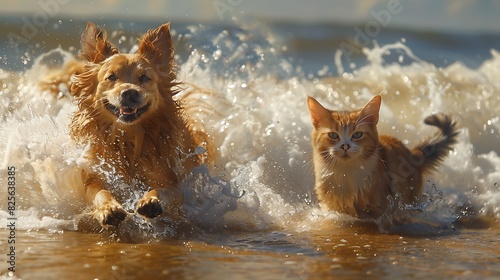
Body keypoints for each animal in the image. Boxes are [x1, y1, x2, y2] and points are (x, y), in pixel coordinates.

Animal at [68, 22, 213, 228]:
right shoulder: (94, 176)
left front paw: (151, 200)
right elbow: (100, 192)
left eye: (144, 78)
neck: (129, 138)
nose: (129, 92)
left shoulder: (172, 182)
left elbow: (164, 190)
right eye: (111, 77)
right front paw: (108, 208)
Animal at [306, 95, 458, 220]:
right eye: (333, 135)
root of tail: (412, 153)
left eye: (357, 135)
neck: (345, 174)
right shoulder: (330, 205)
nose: (345, 146)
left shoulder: (381, 206)